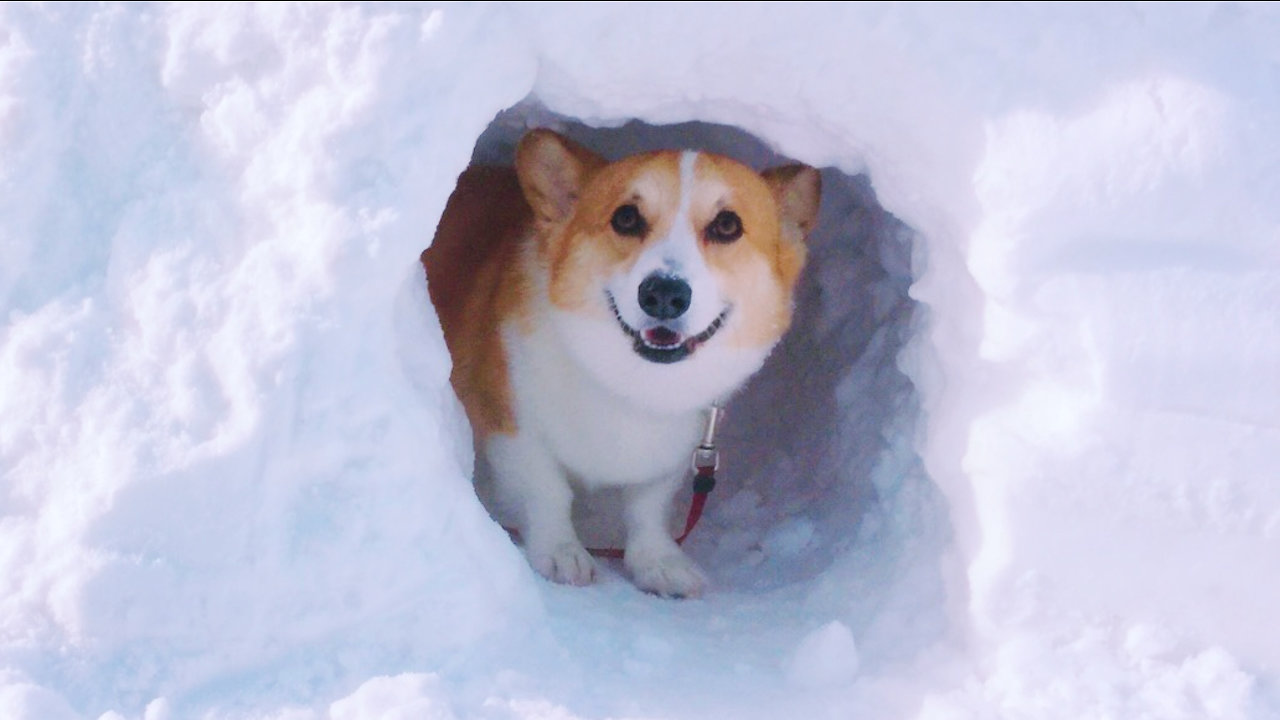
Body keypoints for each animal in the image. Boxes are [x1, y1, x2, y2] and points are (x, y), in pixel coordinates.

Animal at [422, 128, 819, 594]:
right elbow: (547, 491)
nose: (663, 293)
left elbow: (648, 509)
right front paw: (561, 552)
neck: (631, 383)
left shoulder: (671, 459)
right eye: (626, 218)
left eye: (727, 225)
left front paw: (658, 561)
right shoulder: (511, 427)